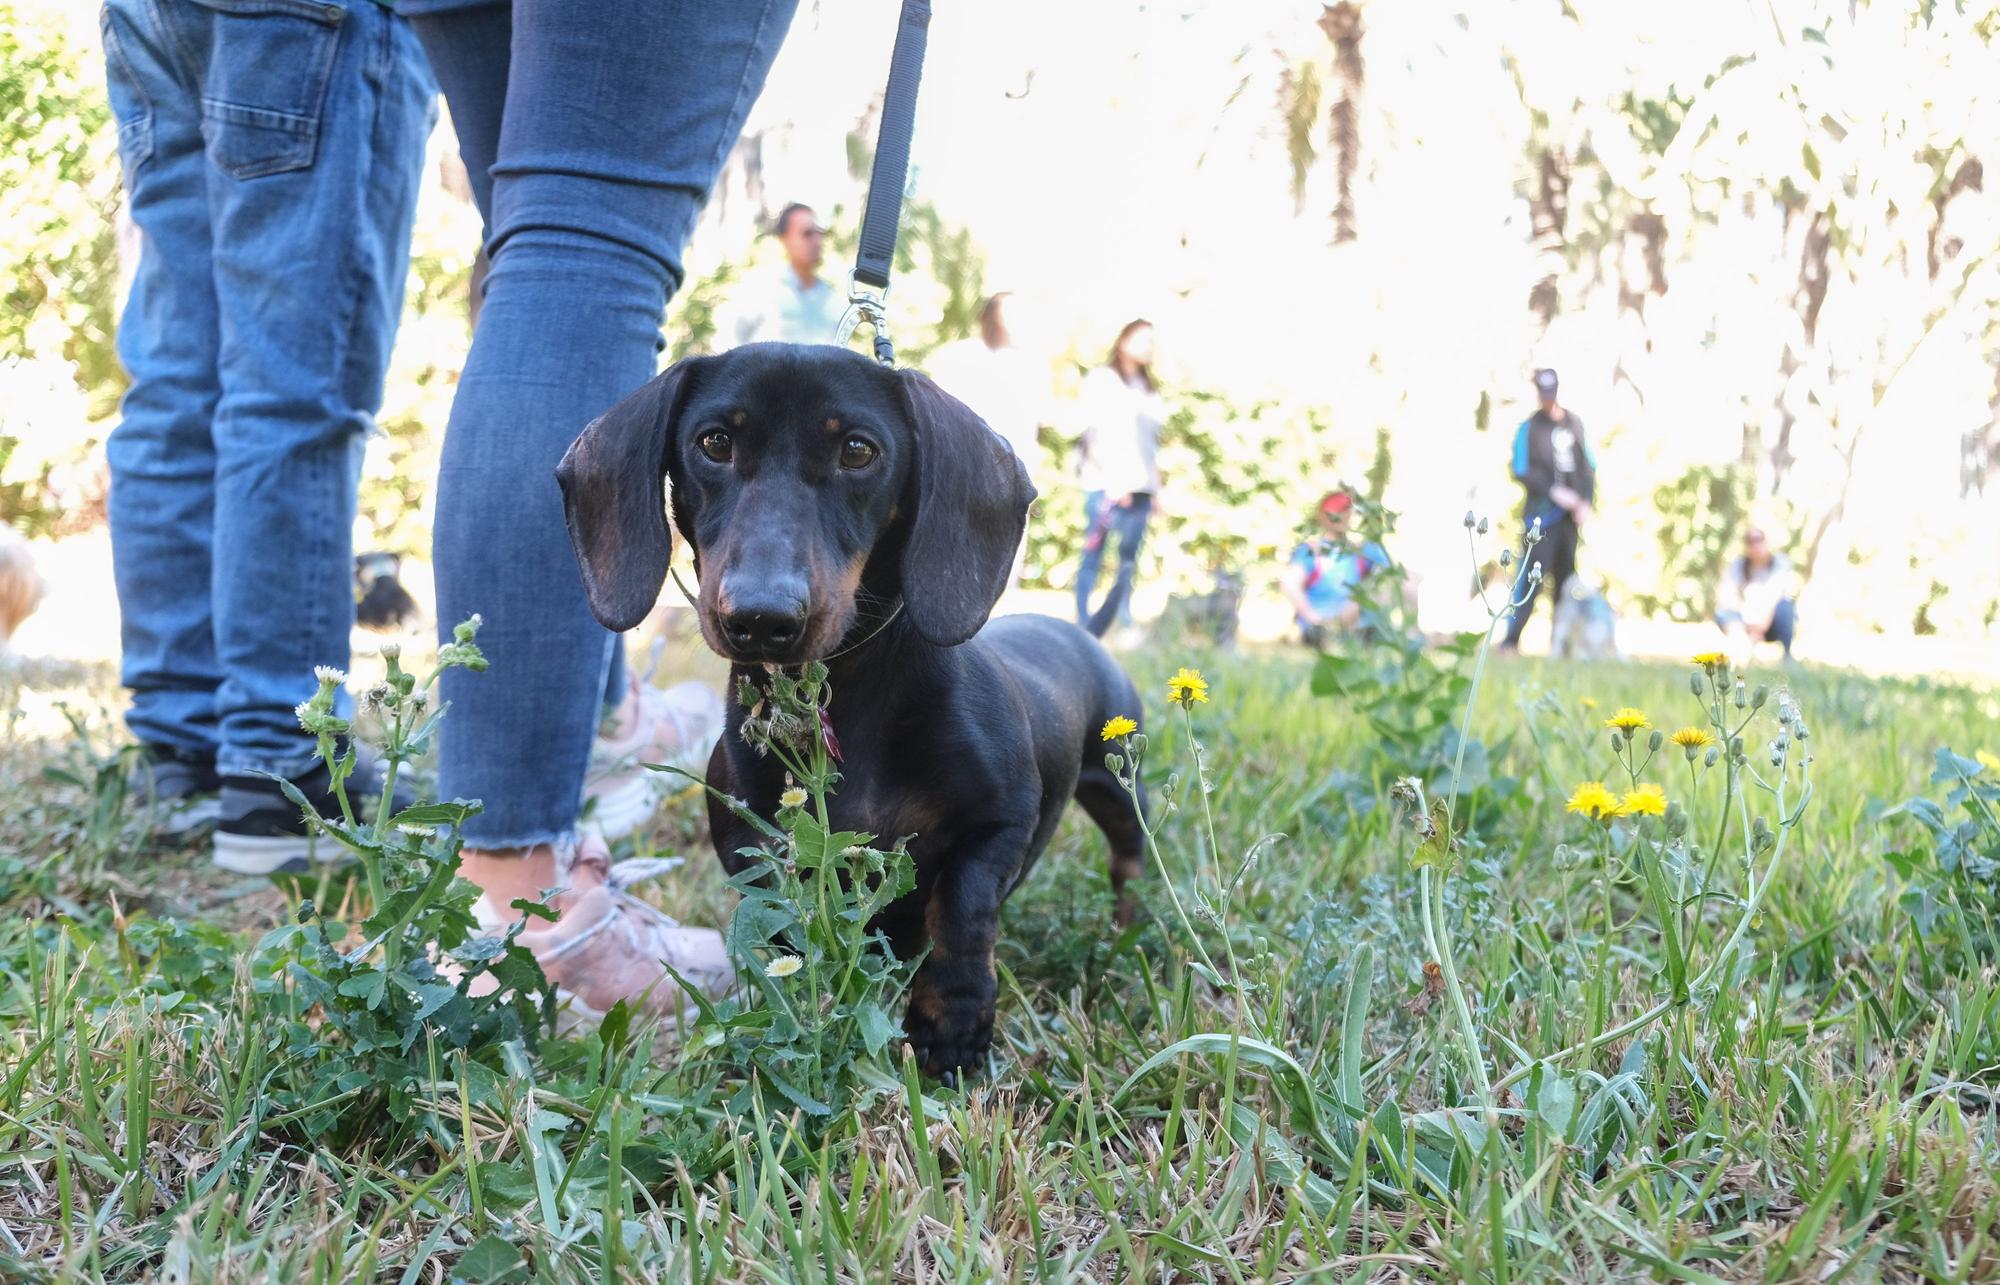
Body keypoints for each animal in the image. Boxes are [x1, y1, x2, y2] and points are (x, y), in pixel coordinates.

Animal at [556, 342, 1152, 1080]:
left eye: (859, 450)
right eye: (714, 442)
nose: (760, 618)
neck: (849, 693)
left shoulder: (1002, 821)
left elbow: (960, 907)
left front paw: (950, 1032)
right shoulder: (758, 851)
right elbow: (794, 936)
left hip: (1120, 788)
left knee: (1129, 860)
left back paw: (1132, 928)